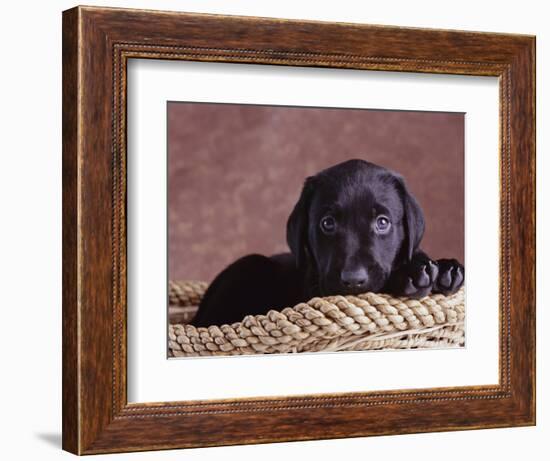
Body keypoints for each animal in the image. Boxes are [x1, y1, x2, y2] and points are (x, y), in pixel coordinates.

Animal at [192, 160, 464, 326]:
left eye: (382, 222)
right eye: (328, 223)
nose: (354, 280)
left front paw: (444, 269)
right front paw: (413, 273)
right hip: (249, 265)